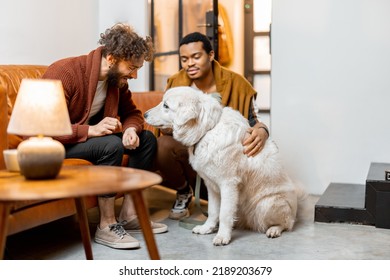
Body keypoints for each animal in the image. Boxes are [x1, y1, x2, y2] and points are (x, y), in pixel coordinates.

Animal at [145, 87, 304, 245]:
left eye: (166, 105)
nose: (145, 114)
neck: (208, 130)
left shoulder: (228, 185)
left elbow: (224, 214)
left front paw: (222, 237)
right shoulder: (211, 186)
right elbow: (213, 211)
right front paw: (207, 228)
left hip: (266, 204)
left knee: (286, 224)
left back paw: (274, 230)